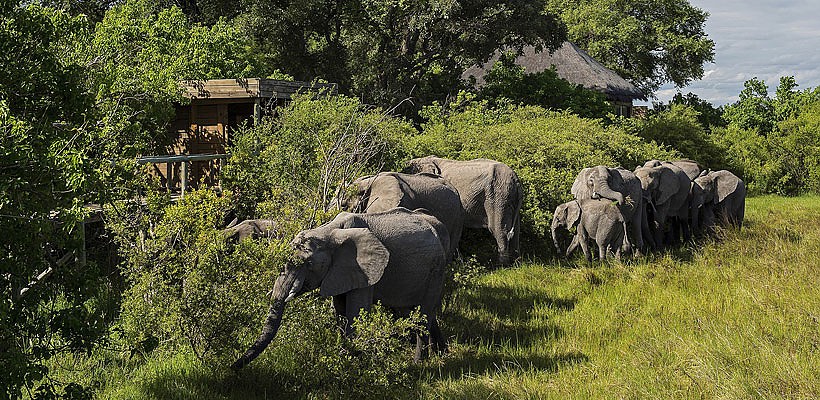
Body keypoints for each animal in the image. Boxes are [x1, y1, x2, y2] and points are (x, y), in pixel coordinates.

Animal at [231, 208, 448, 370]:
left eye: (309, 264)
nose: (231, 368)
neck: (329, 232)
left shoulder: (364, 268)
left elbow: (356, 312)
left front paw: (352, 365)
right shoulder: (340, 272)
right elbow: (340, 311)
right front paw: (345, 359)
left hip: (436, 268)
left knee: (423, 314)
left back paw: (419, 364)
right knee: (414, 312)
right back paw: (442, 353)